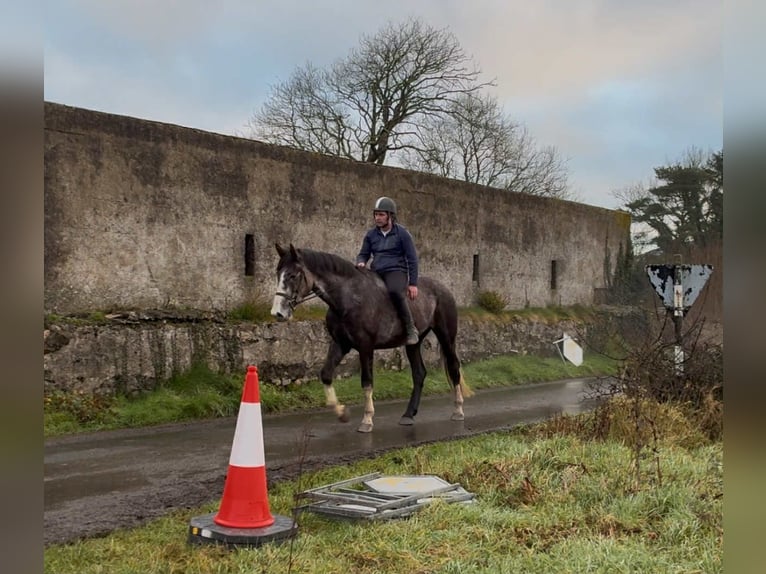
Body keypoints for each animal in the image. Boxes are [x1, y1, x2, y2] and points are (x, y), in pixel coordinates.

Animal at [270, 243, 471, 433]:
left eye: (293, 275)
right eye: (278, 274)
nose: (277, 313)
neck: (349, 298)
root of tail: (443, 289)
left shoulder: (365, 346)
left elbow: (367, 381)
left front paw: (366, 420)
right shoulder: (340, 344)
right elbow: (326, 374)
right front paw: (342, 413)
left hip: (447, 337)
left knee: (454, 367)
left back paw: (458, 410)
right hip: (413, 344)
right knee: (419, 373)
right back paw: (408, 415)